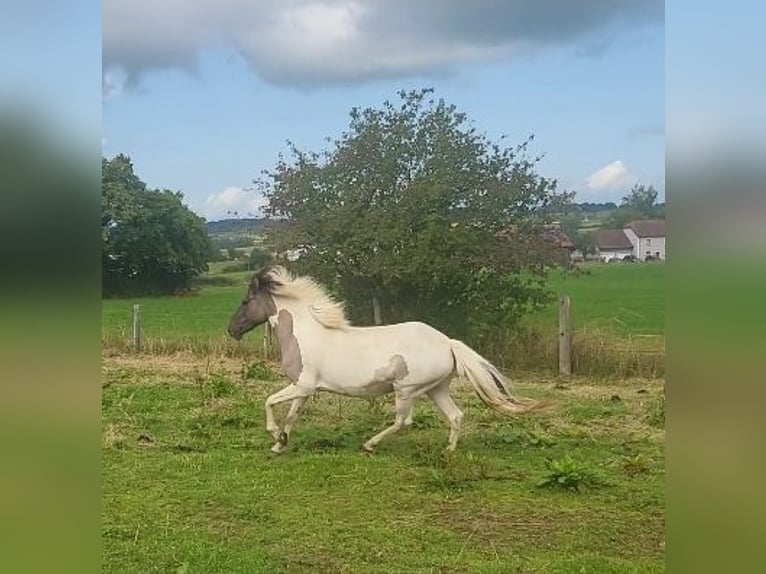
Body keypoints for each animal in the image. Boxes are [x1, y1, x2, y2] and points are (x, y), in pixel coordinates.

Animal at [227, 265, 545, 454]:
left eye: (245, 302)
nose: (232, 330)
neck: (306, 334)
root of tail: (447, 342)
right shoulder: (304, 389)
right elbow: (292, 415)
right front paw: (280, 444)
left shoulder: (303, 385)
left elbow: (269, 402)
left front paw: (274, 436)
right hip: (436, 389)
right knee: (455, 416)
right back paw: (448, 451)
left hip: (406, 389)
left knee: (403, 421)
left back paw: (369, 444)